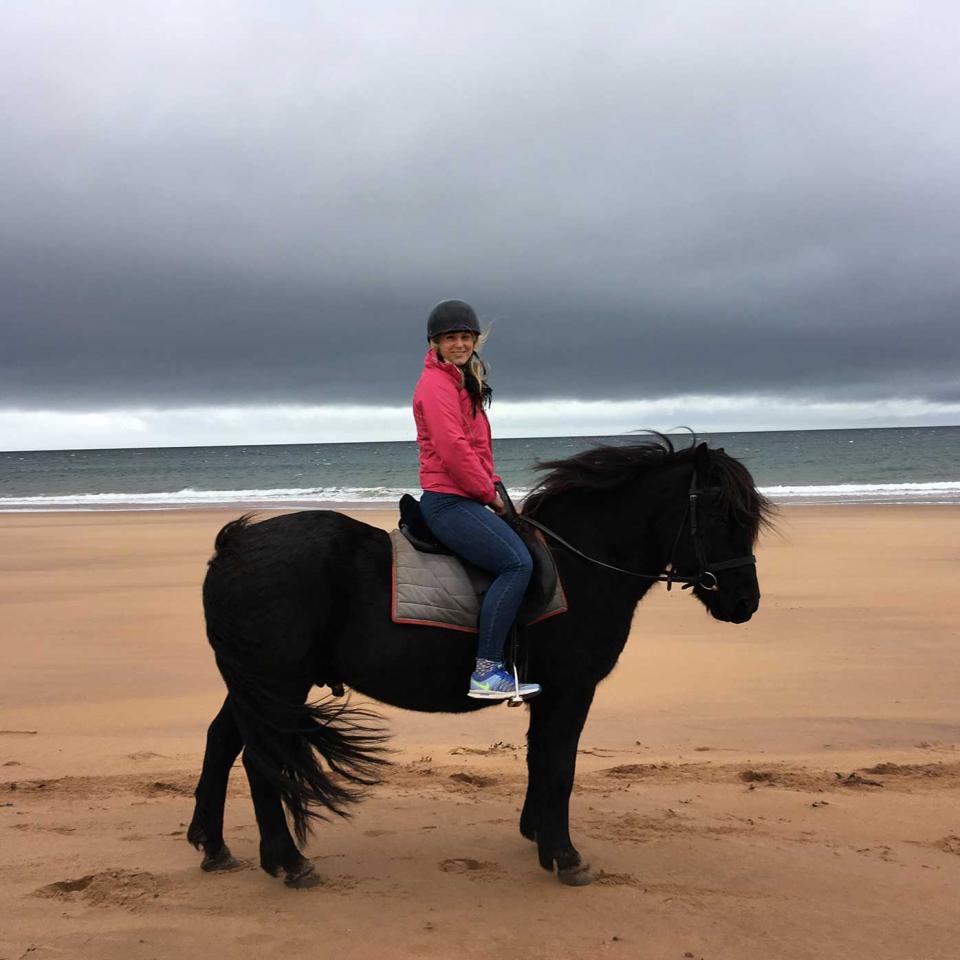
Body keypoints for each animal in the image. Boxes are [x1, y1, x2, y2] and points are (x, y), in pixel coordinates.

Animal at [187, 436, 772, 887]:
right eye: (720, 513)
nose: (745, 602)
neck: (580, 565)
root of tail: (233, 545)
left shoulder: (547, 694)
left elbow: (540, 760)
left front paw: (536, 834)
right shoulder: (571, 690)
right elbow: (560, 767)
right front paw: (565, 856)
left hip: (256, 683)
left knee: (223, 743)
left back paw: (215, 847)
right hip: (279, 683)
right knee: (260, 761)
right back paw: (288, 863)